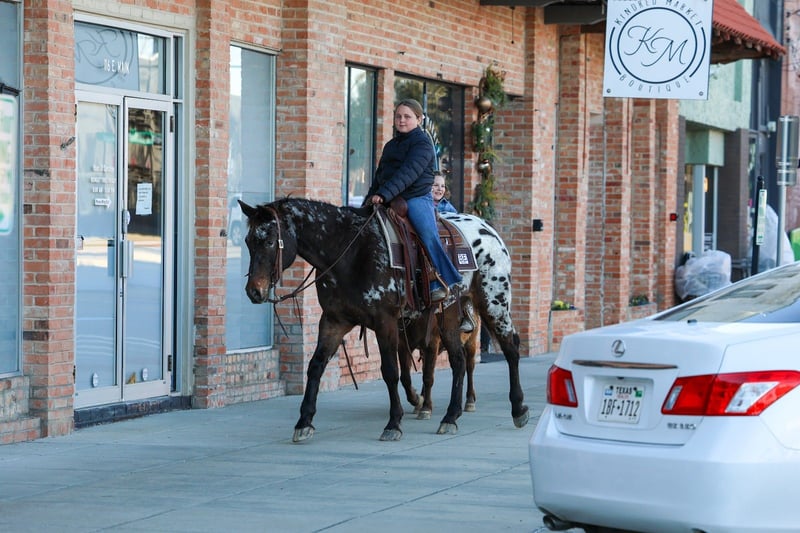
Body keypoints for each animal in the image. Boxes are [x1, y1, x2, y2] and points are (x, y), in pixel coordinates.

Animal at [239, 198, 529, 442]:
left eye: (269, 241)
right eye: (248, 241)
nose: (254, 291)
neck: (350, 252)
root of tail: (488, 230)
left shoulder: (385, 321)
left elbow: (390, 371)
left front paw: (393, 423)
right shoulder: (334, 320)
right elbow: (316, 366)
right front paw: (304, 422)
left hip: (494, 302)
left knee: (510, 348)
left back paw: (518, 409)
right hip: (447, 314)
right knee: (458, 360)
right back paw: (450, 416)